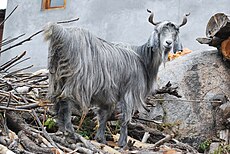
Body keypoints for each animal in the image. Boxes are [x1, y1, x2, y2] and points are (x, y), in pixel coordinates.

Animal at [43, 9, 189, 147]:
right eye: (159, 31)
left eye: (175, 32)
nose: (168, 43)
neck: (142, 57)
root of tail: (63, 35)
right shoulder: (129, 92)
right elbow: (124, 118)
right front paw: (122, 143)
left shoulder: (107, 95)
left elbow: (103, 115)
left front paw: (101, 139)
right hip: (77, 82)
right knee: (66, 102)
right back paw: (70, 132)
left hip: (57, 78)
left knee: (58, 102)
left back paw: (61, 129)